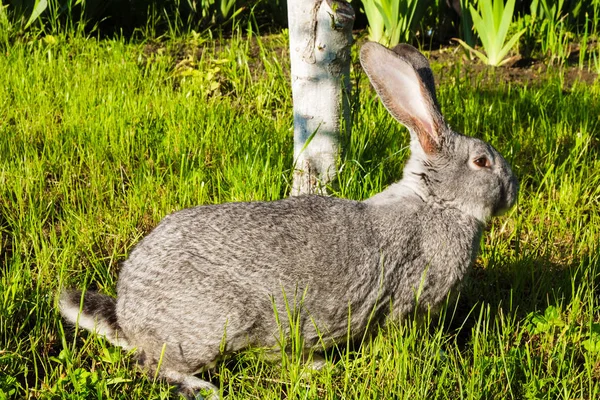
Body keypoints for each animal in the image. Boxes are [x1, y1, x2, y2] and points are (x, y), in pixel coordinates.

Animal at [59, 42, 516, 398]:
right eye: (481, 162)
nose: (512, 190)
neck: (437, 202)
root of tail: (129, 316)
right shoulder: (406, 302)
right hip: (216, 326)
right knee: (154, 364)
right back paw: (208, 387)